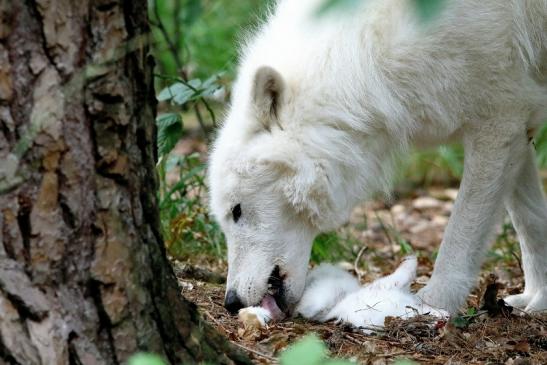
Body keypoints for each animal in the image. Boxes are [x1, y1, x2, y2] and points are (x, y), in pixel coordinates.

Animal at [209, 0, 547, 314]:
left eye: (236, 211)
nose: (231, 302)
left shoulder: (498, 118)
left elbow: (461, 236)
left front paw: (432, 306)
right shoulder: (517, 122)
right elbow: (530, 219)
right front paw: (540, 298)